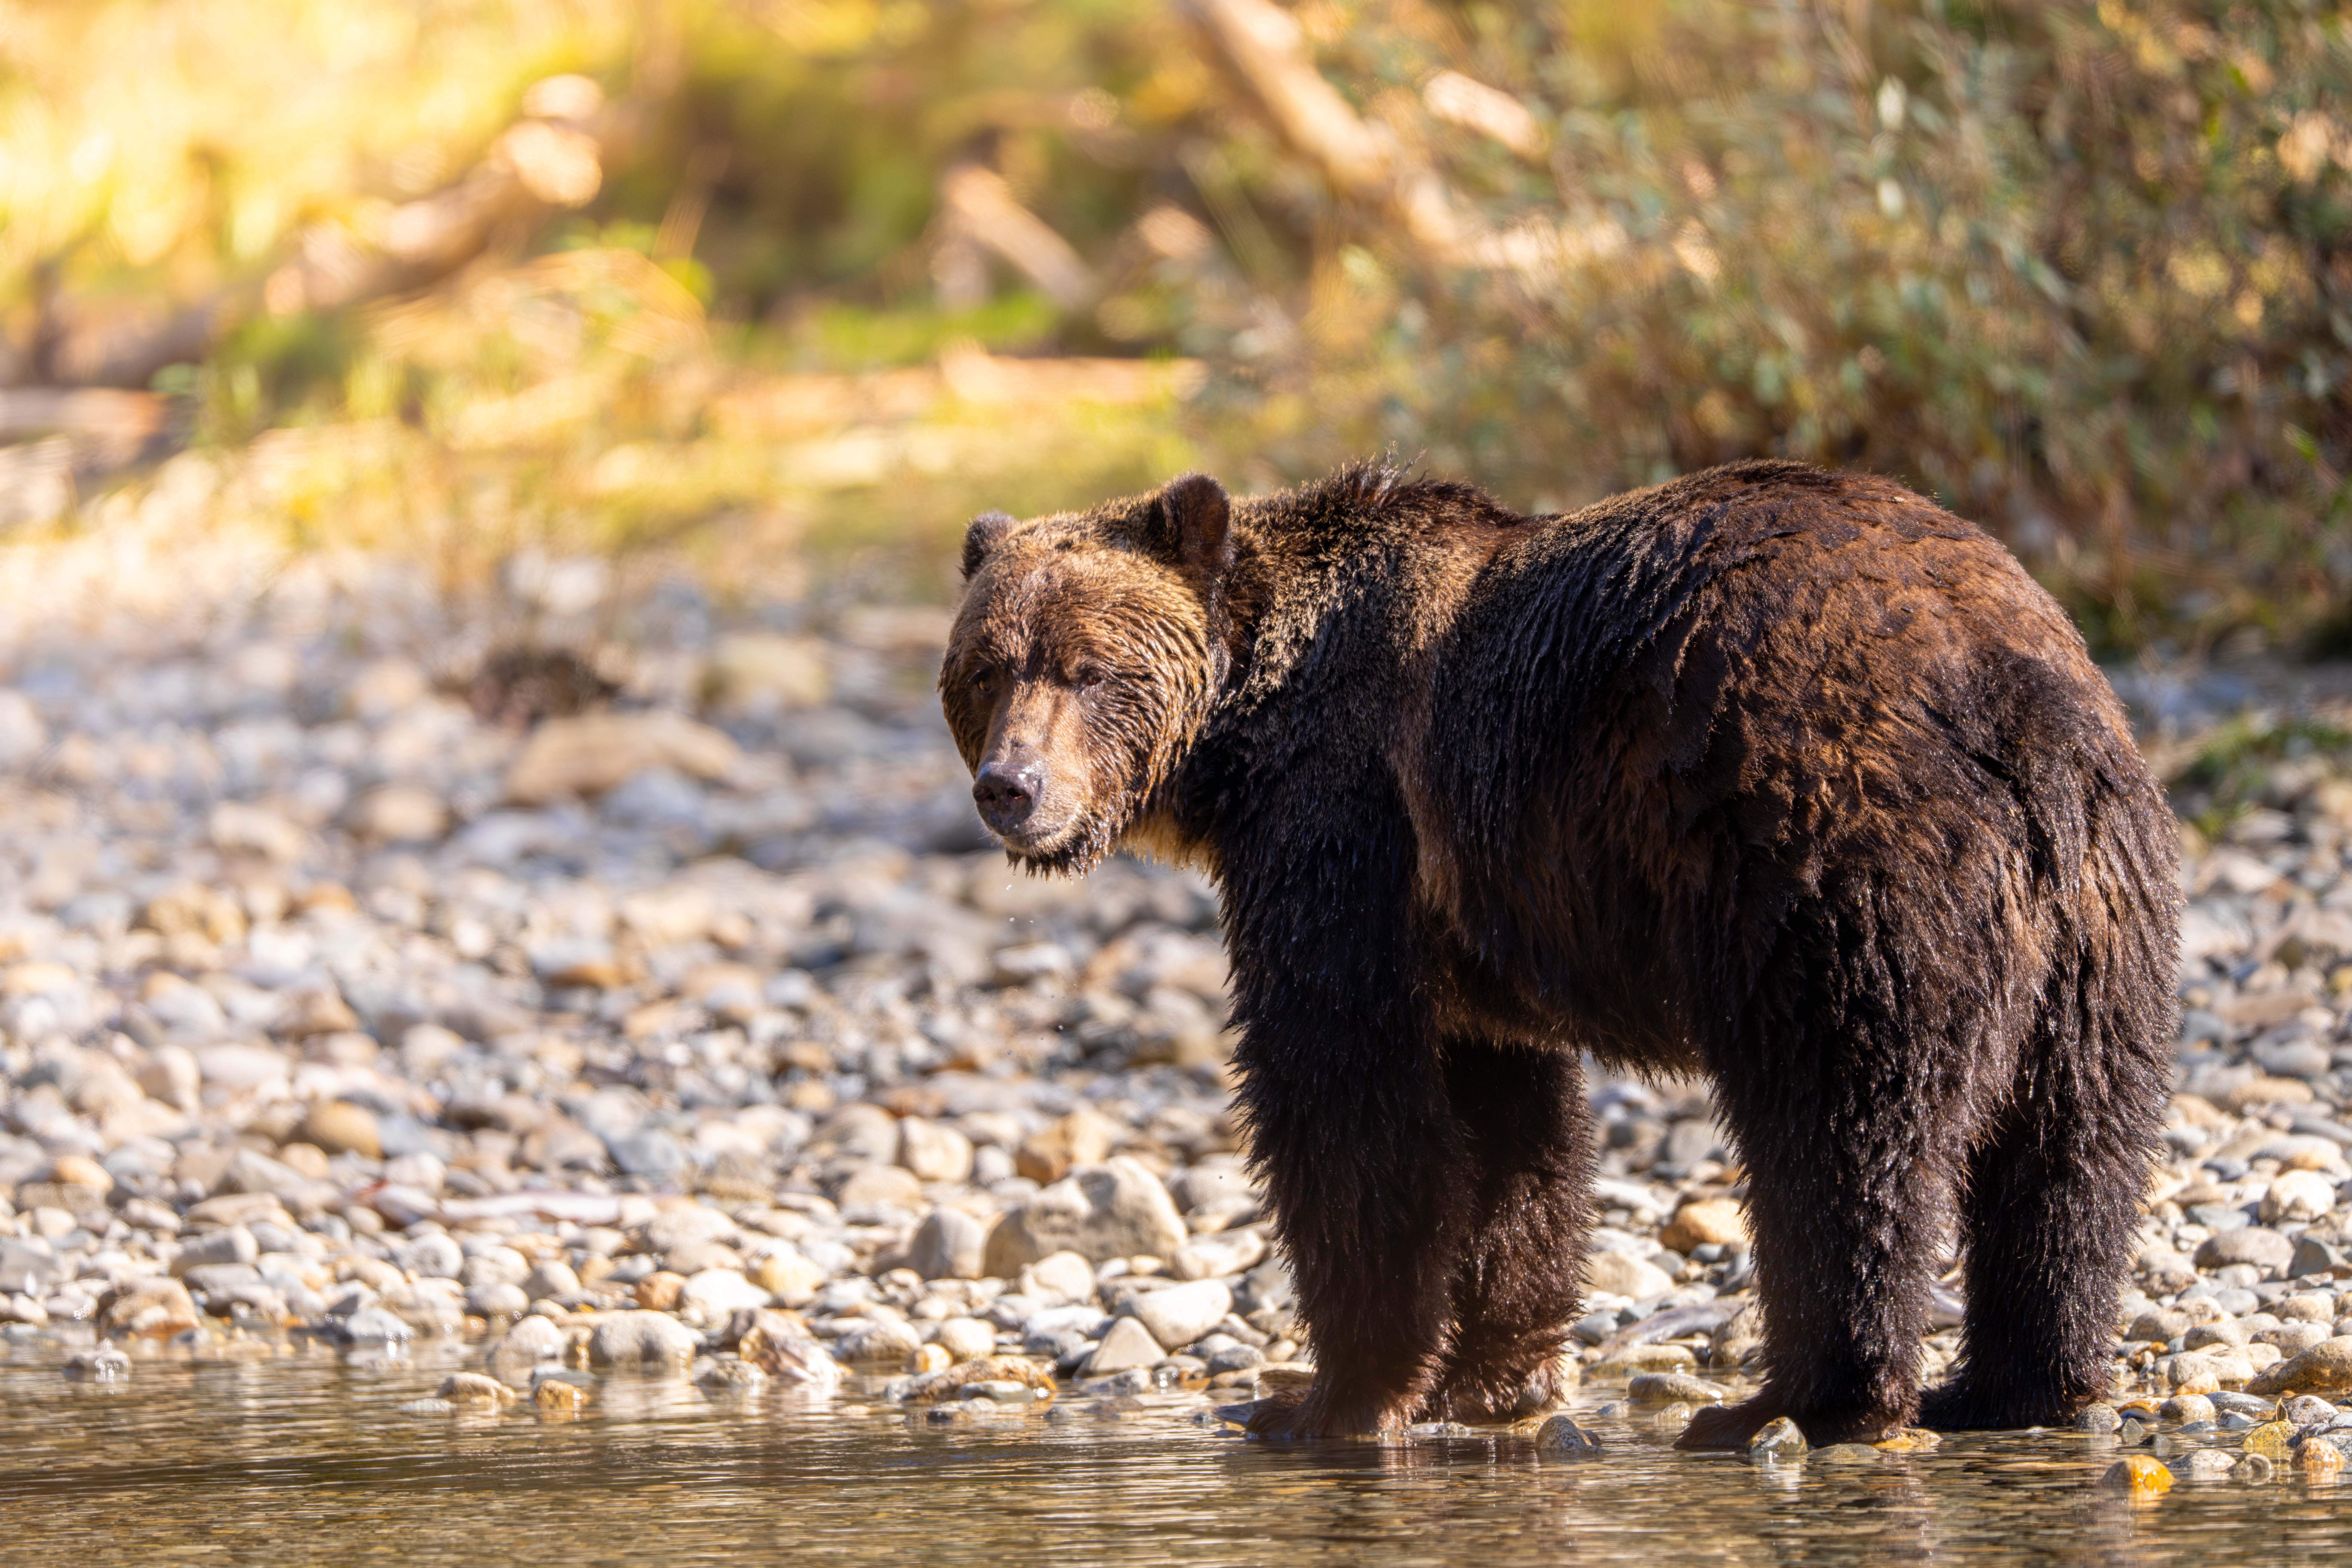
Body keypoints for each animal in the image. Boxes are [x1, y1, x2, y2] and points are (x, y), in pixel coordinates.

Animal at [938, 457, 2178, 1447]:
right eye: (987, 668)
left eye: (1088, 669)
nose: (1012, 788)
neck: (1244, 736)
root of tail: (2008, 694)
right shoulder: (1470, 937)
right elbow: (1509, 1137)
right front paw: (1488, 1379)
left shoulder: (1348, 820)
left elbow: (1342, 1093)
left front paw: (1323, 1397)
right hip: (2101, 922)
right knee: (2073, 1151)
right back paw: (2017, 1384)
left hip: (1830, 863)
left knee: (1841, 1131)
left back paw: (1797, 1400)